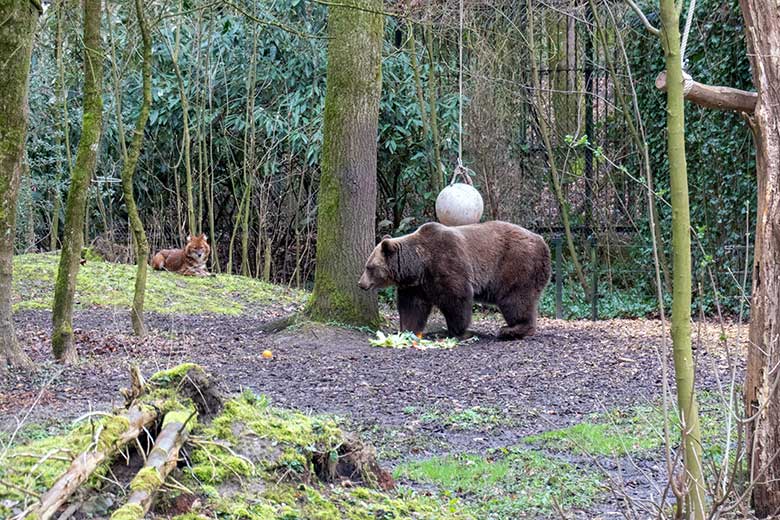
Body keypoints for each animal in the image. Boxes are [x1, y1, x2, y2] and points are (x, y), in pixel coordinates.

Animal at [356, 220, 552, 340]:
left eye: (369, 267)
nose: (361, 284)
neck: (419, 265)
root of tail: (542, 241)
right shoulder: (415, 286)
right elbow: (412, 307)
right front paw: (407, 330)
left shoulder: (446, 262)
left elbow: (456, 298)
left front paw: (457, 331)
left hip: (516, 264)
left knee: (515, 299)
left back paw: (511, 329)